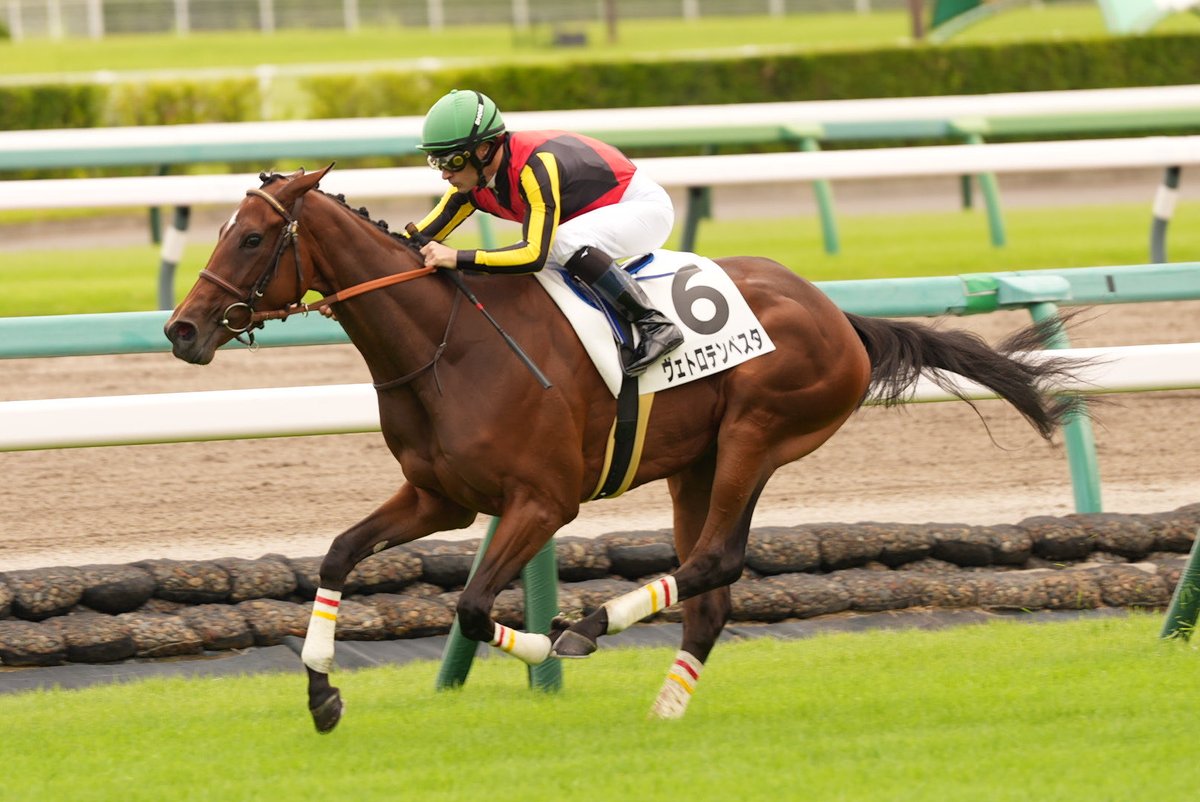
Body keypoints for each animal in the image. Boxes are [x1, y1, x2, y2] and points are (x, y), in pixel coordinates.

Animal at [165, 165, 1083, 733]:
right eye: (223, 232)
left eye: (252, 239)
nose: (181, 330)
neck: (448, 344)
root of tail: (838, 315)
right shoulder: (440, 497)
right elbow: (337, 554)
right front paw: (322, 692)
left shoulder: (543, 502)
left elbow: (473, 608)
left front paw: (549, 645)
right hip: (698, 466)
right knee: (711, 594)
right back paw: (665, 712)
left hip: (758, 434)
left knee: (716, 561)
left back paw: (592, 628)